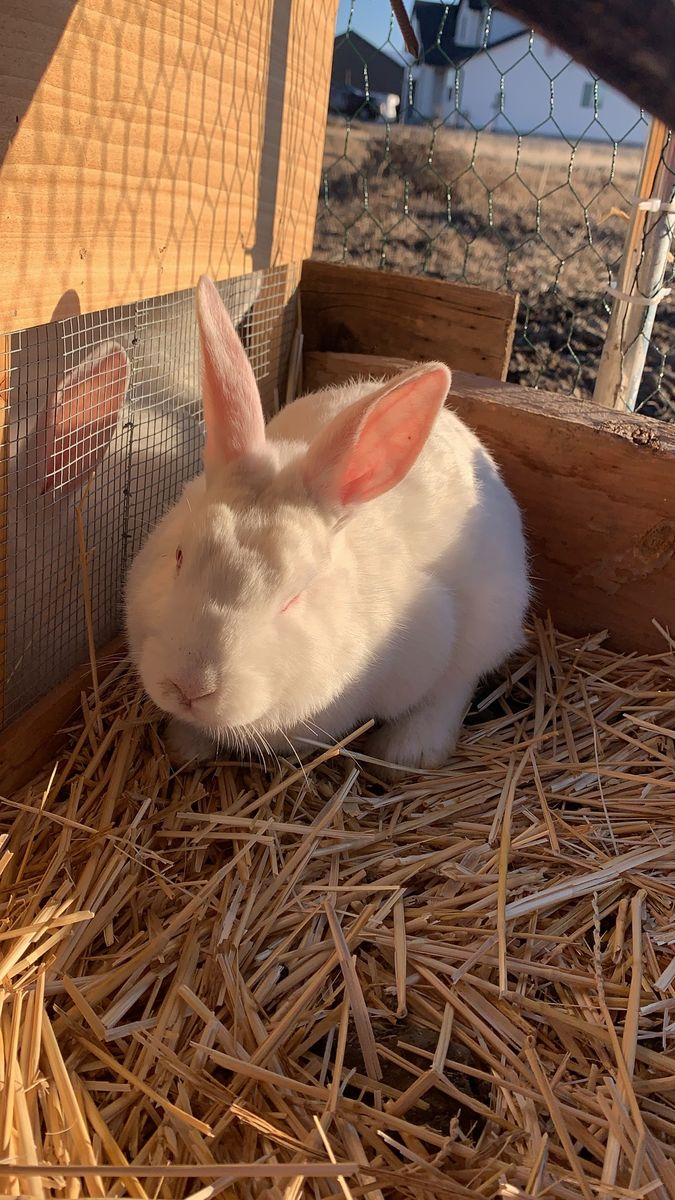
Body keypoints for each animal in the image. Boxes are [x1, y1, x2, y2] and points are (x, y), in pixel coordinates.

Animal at [125, 275, 530, 773]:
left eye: (295, 597)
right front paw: (186, 745)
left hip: (492, 615)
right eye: (179, 556)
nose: (189, 686)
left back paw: (411, 750)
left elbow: (446, 686)